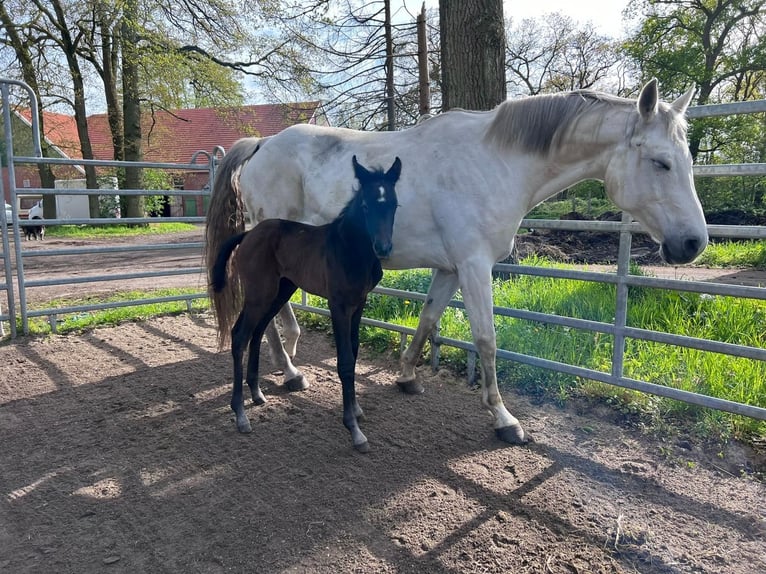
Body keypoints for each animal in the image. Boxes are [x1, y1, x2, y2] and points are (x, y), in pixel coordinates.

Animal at [207, 79, 712, 444]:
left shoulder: (450, 269)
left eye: (687, 161)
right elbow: (486, 341)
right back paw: (289, 374)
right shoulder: (474, 267)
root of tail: (262, 144)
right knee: (269, 322)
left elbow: (428, 321)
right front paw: (504, 419)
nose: (693, 243)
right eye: (661, 163)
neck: (495, 163)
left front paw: (408, 377)